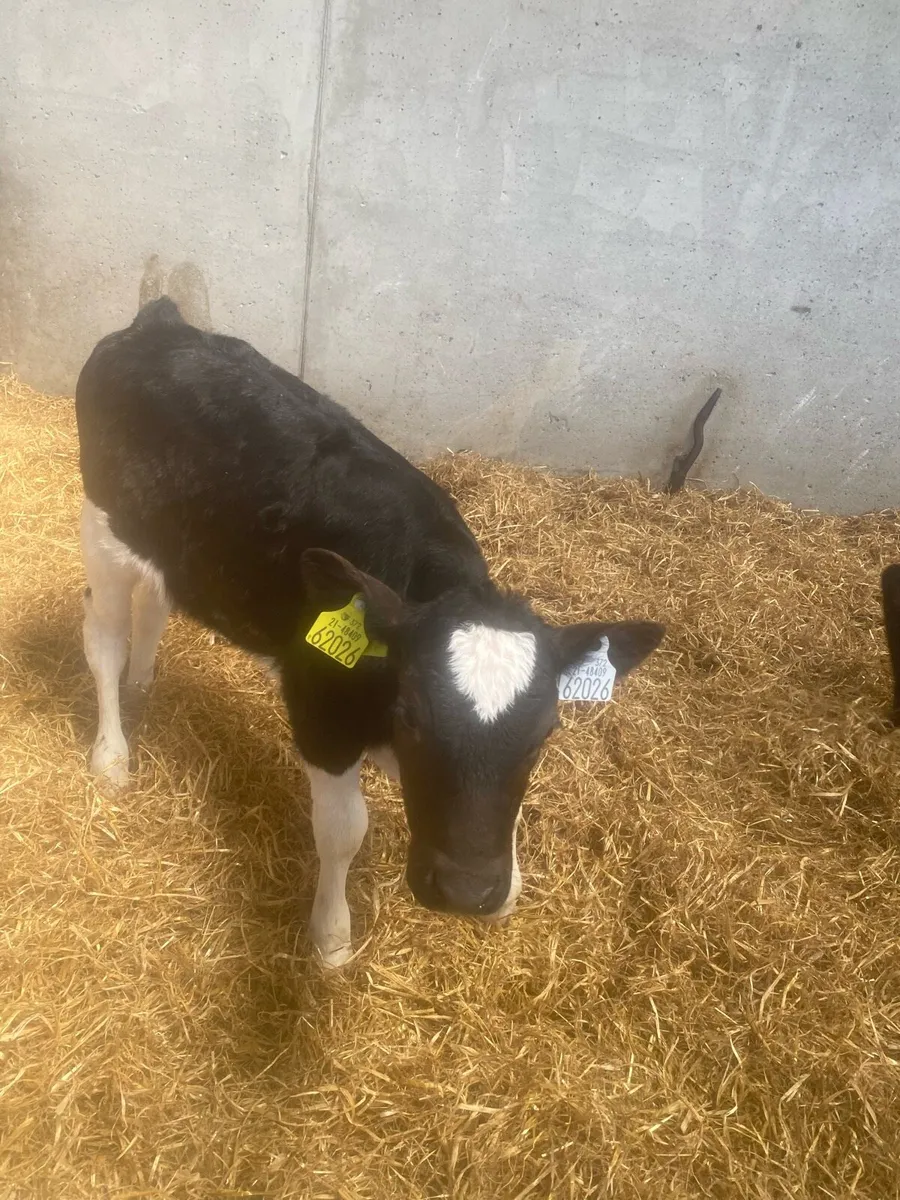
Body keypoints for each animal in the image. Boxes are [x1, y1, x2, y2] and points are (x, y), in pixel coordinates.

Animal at [75, 298, 665, 966]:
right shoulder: (318, 711)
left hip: (173, 549)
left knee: (154, 605)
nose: (467, 893)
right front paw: (332, 938)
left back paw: (142, 687)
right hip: (102, 527)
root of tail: (161, 322)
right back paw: (112, 757)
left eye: (545, 734)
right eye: (412, 717)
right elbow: (342, 831)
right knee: (104, 639)